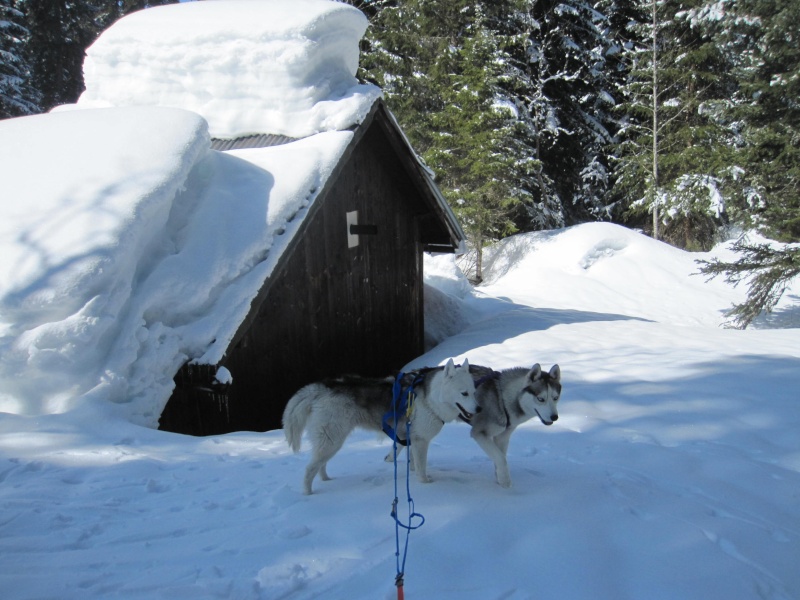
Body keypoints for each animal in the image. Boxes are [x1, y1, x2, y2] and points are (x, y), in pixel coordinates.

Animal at [284, 358, 478, 494]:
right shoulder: (421, 441)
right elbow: (421, 470)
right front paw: (426, 485)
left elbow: (413, 464)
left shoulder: (411, 439)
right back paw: (308, 494)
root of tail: (323, 387)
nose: (479, 409)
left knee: (320, 465)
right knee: (310, 468)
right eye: (464, 393)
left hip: (329, 442)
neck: (432, 397)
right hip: (332, 441)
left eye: (474, 392)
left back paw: (326, 480)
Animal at [468, 360, 564, 488]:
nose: (555, 417)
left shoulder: (502, 437)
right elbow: (501, 459)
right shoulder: (479, 433)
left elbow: (500, 456)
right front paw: (505, 482)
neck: (502, 398)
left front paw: (499, 479)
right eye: (540, 399)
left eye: (555, 398)